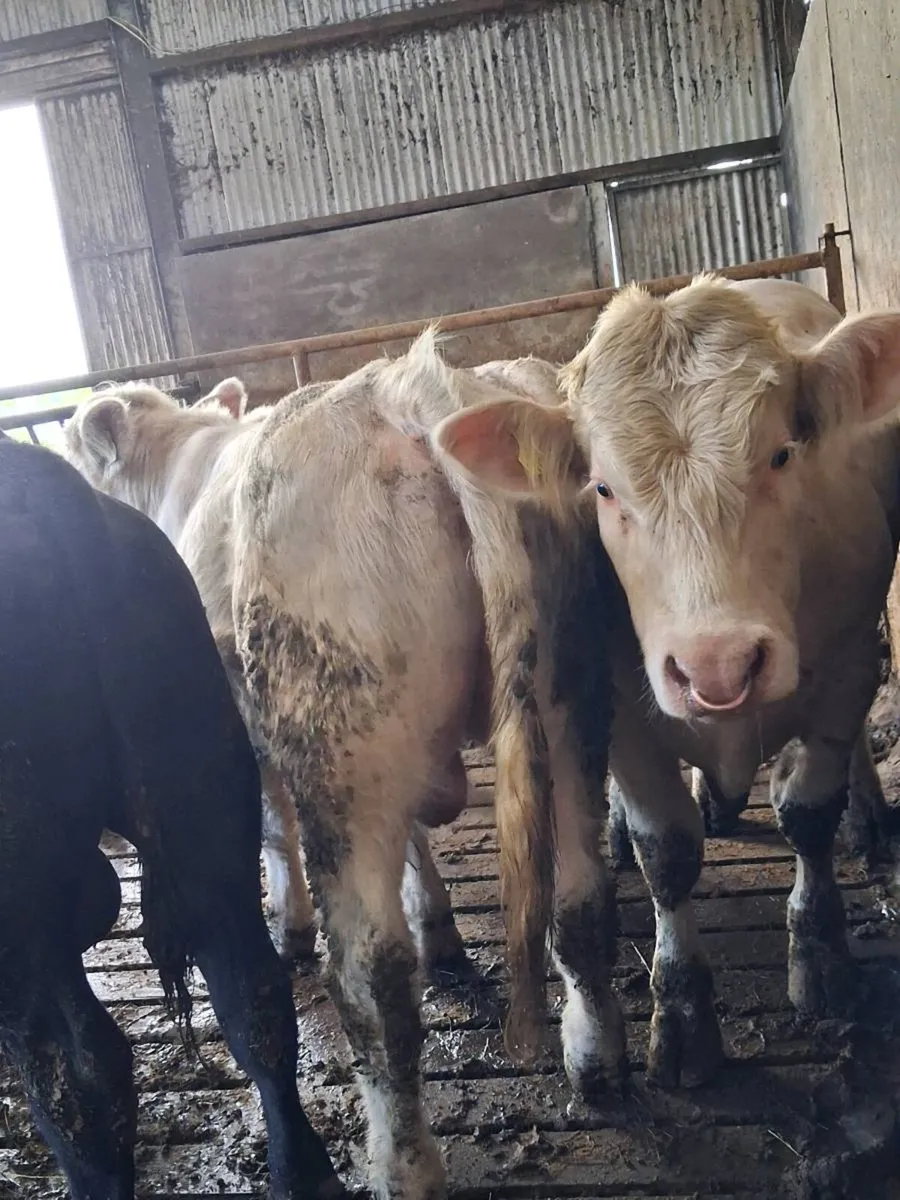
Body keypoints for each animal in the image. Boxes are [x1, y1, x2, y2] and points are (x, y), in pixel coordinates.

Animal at [64, 339, 619, 1200]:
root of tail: (409, 387)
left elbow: (270, 829)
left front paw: (289, 925)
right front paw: (441, 928)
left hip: (339, 749)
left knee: (373, 978)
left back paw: (402, 1164)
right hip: (567, 698)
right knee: (580, 899)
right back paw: (596, 1062)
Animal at [431, 275, 900, 1091]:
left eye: (783, 454)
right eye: (602, 489)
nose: (717, 662)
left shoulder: (847, 667)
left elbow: (809, 812)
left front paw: (821, 961)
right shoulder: (626, 711)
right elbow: (669, 852)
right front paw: (681, 1019)